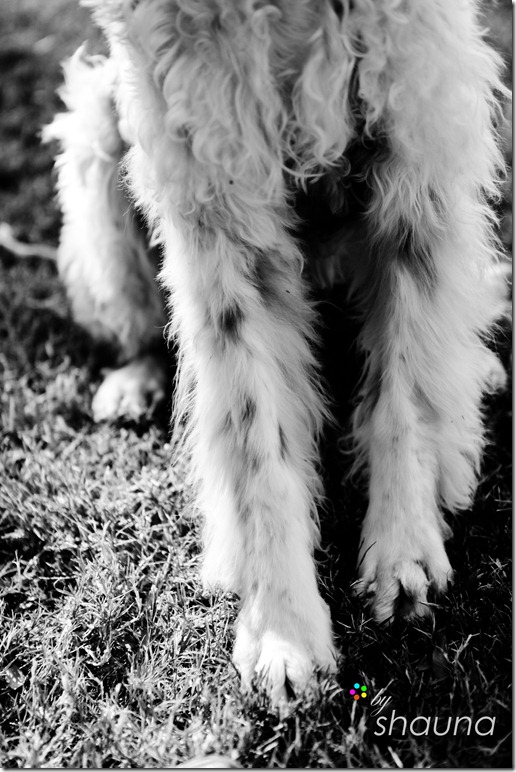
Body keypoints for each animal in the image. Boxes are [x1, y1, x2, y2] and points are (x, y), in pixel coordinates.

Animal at [45, 0, 509, 703]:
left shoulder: (415, 140)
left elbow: (405, 395)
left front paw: (403, 549)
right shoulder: (216, 192)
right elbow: (255, 439)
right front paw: (281, 629)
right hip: (98, 130)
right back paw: (134, 381)